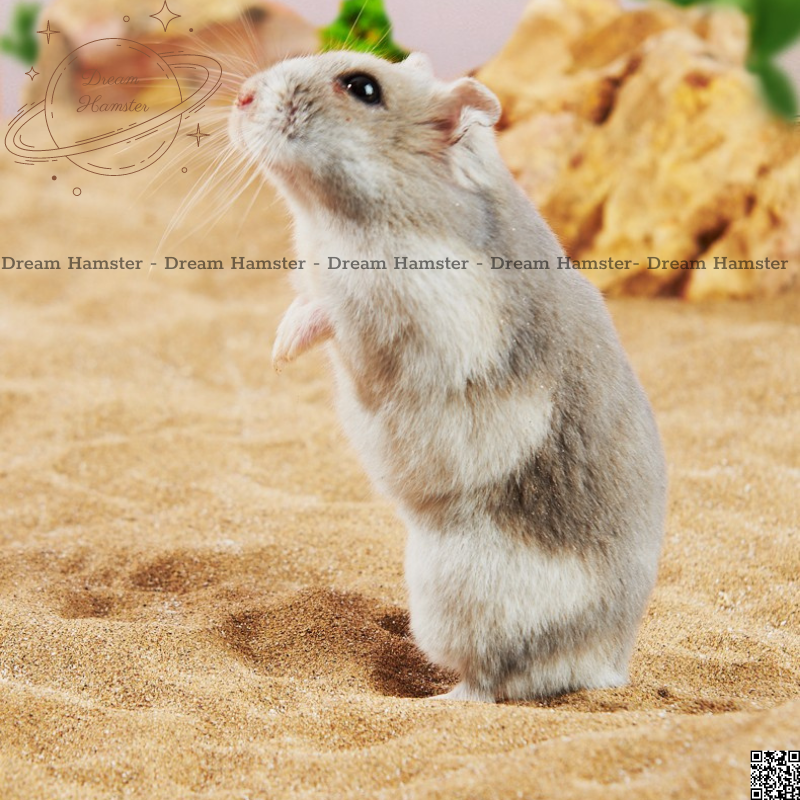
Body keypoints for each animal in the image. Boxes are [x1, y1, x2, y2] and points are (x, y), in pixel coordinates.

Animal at [229, 51, 667, 702]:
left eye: (363, 88)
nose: (241, 97)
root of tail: (608, 666)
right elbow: (308, 301)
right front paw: (278, 350)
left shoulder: (413, 313)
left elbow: (336, 312)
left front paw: (283, 350)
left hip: (464, 597)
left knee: (494, 684)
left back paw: (439, 700)